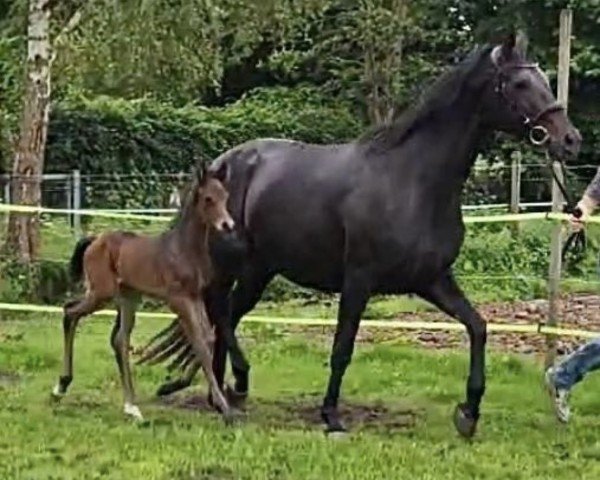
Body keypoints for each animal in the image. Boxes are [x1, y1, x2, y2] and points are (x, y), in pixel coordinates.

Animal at [51, 166, 236, 424]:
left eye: (225, 197)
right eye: (208, 199)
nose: (228, 224)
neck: (183, 248)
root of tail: (95, 239)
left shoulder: (196, 296)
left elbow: (208, 338)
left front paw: (215, 400)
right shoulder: (178, 300)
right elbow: (198, 341)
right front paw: (224, 408)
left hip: (129, 297)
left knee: (119, 339)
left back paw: (131, 406)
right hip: (103, 293)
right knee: (70, 311)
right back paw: (61, 387)